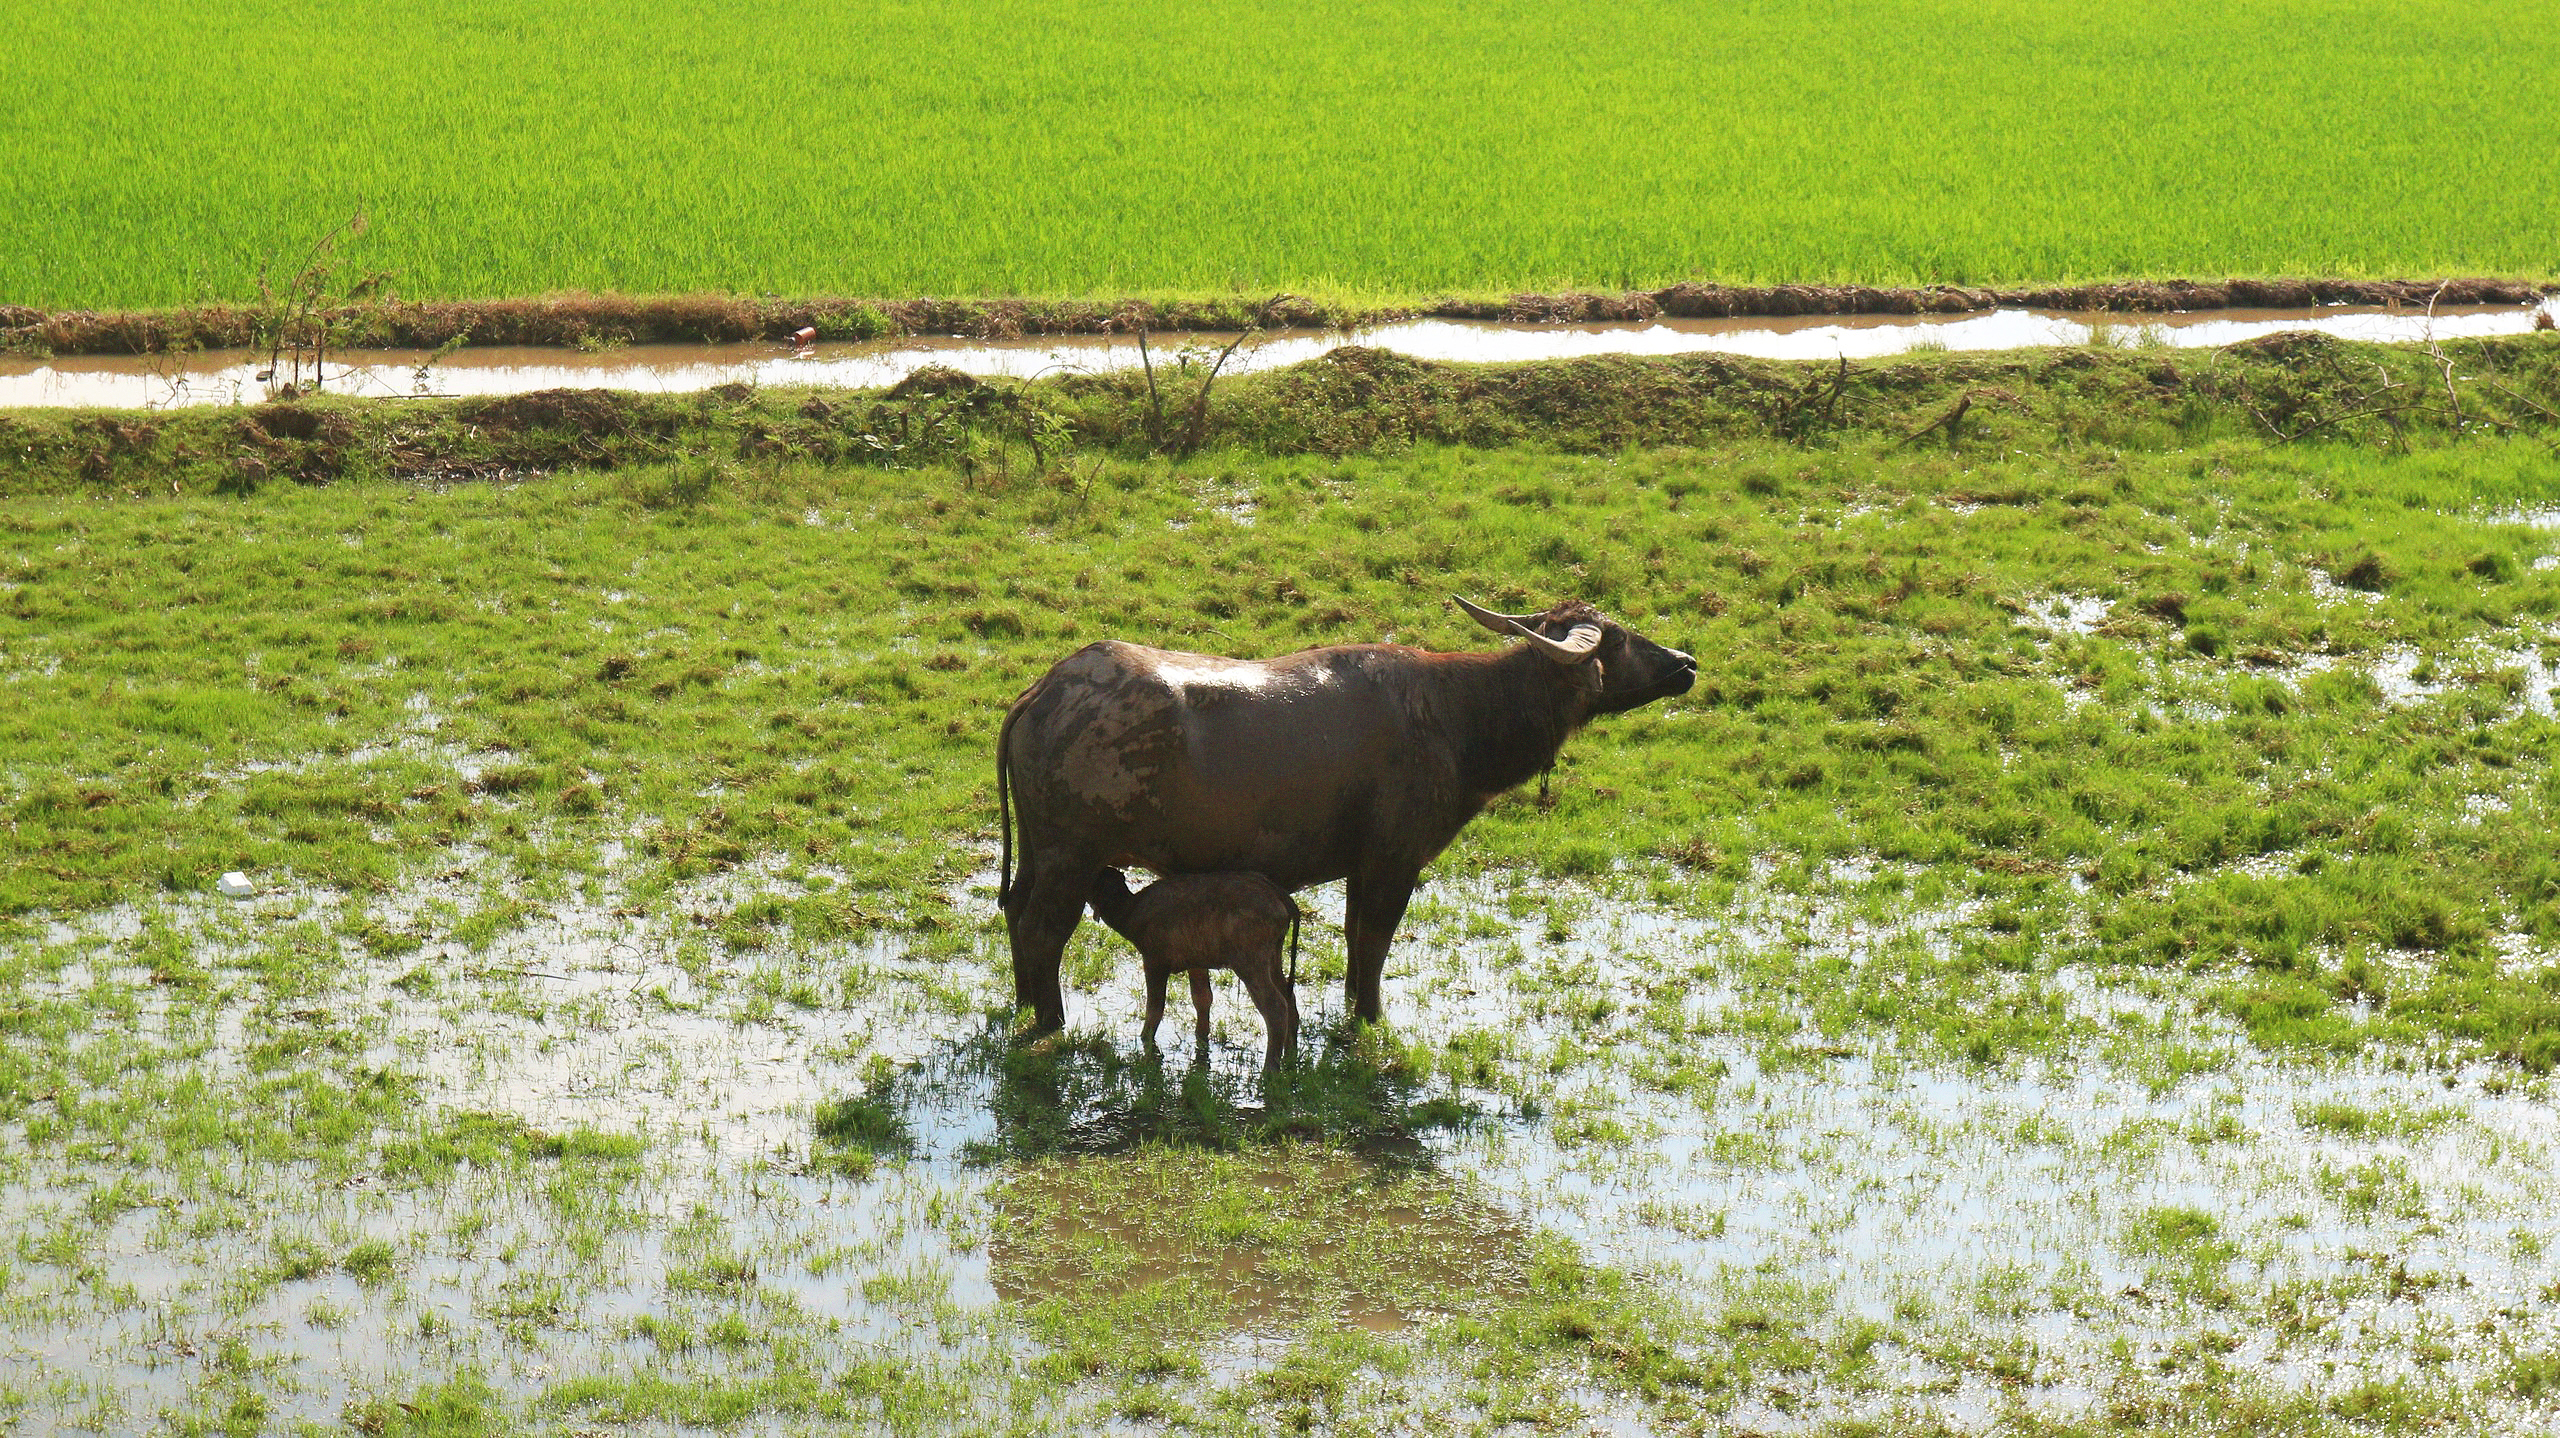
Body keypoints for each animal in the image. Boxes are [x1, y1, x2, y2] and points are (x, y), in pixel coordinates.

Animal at [998, 593, 1699, 1028]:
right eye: (1617, 638)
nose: (1687, 662)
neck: (1456, 715)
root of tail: (1042, 690)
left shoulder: (1362, 865)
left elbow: (1355, 939)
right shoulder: (1395, 860)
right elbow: (1375, 942)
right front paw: (1371, 1017)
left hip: (1038, 851)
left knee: (1012, 909)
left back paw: (1025, 1003)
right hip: (1070, 856)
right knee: (1042, 930)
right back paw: (1051, 1021)